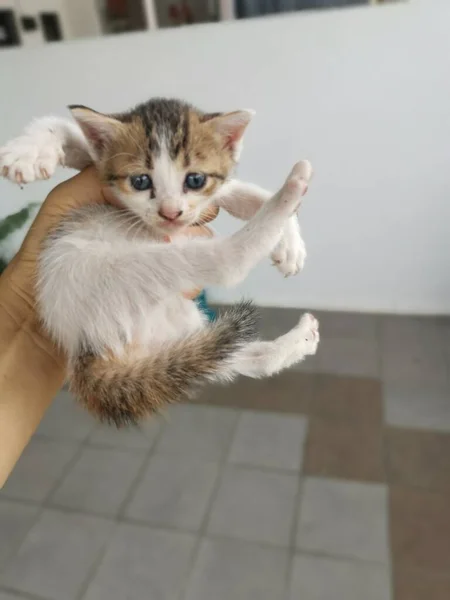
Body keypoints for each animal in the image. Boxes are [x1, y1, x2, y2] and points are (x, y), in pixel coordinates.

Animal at [0, 99, 318, 426]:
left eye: (195, 180)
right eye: (140, 181)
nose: (171, 213)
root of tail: (84, 344)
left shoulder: (214, 188)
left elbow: (247, 193)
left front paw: (290, 245)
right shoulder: (99, 165)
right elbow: (63, 128)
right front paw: (26, 154)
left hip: (174, 330)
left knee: (210, 358)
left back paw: (299, 339)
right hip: (125, 271)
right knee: (227, 261)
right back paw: (292, 188)